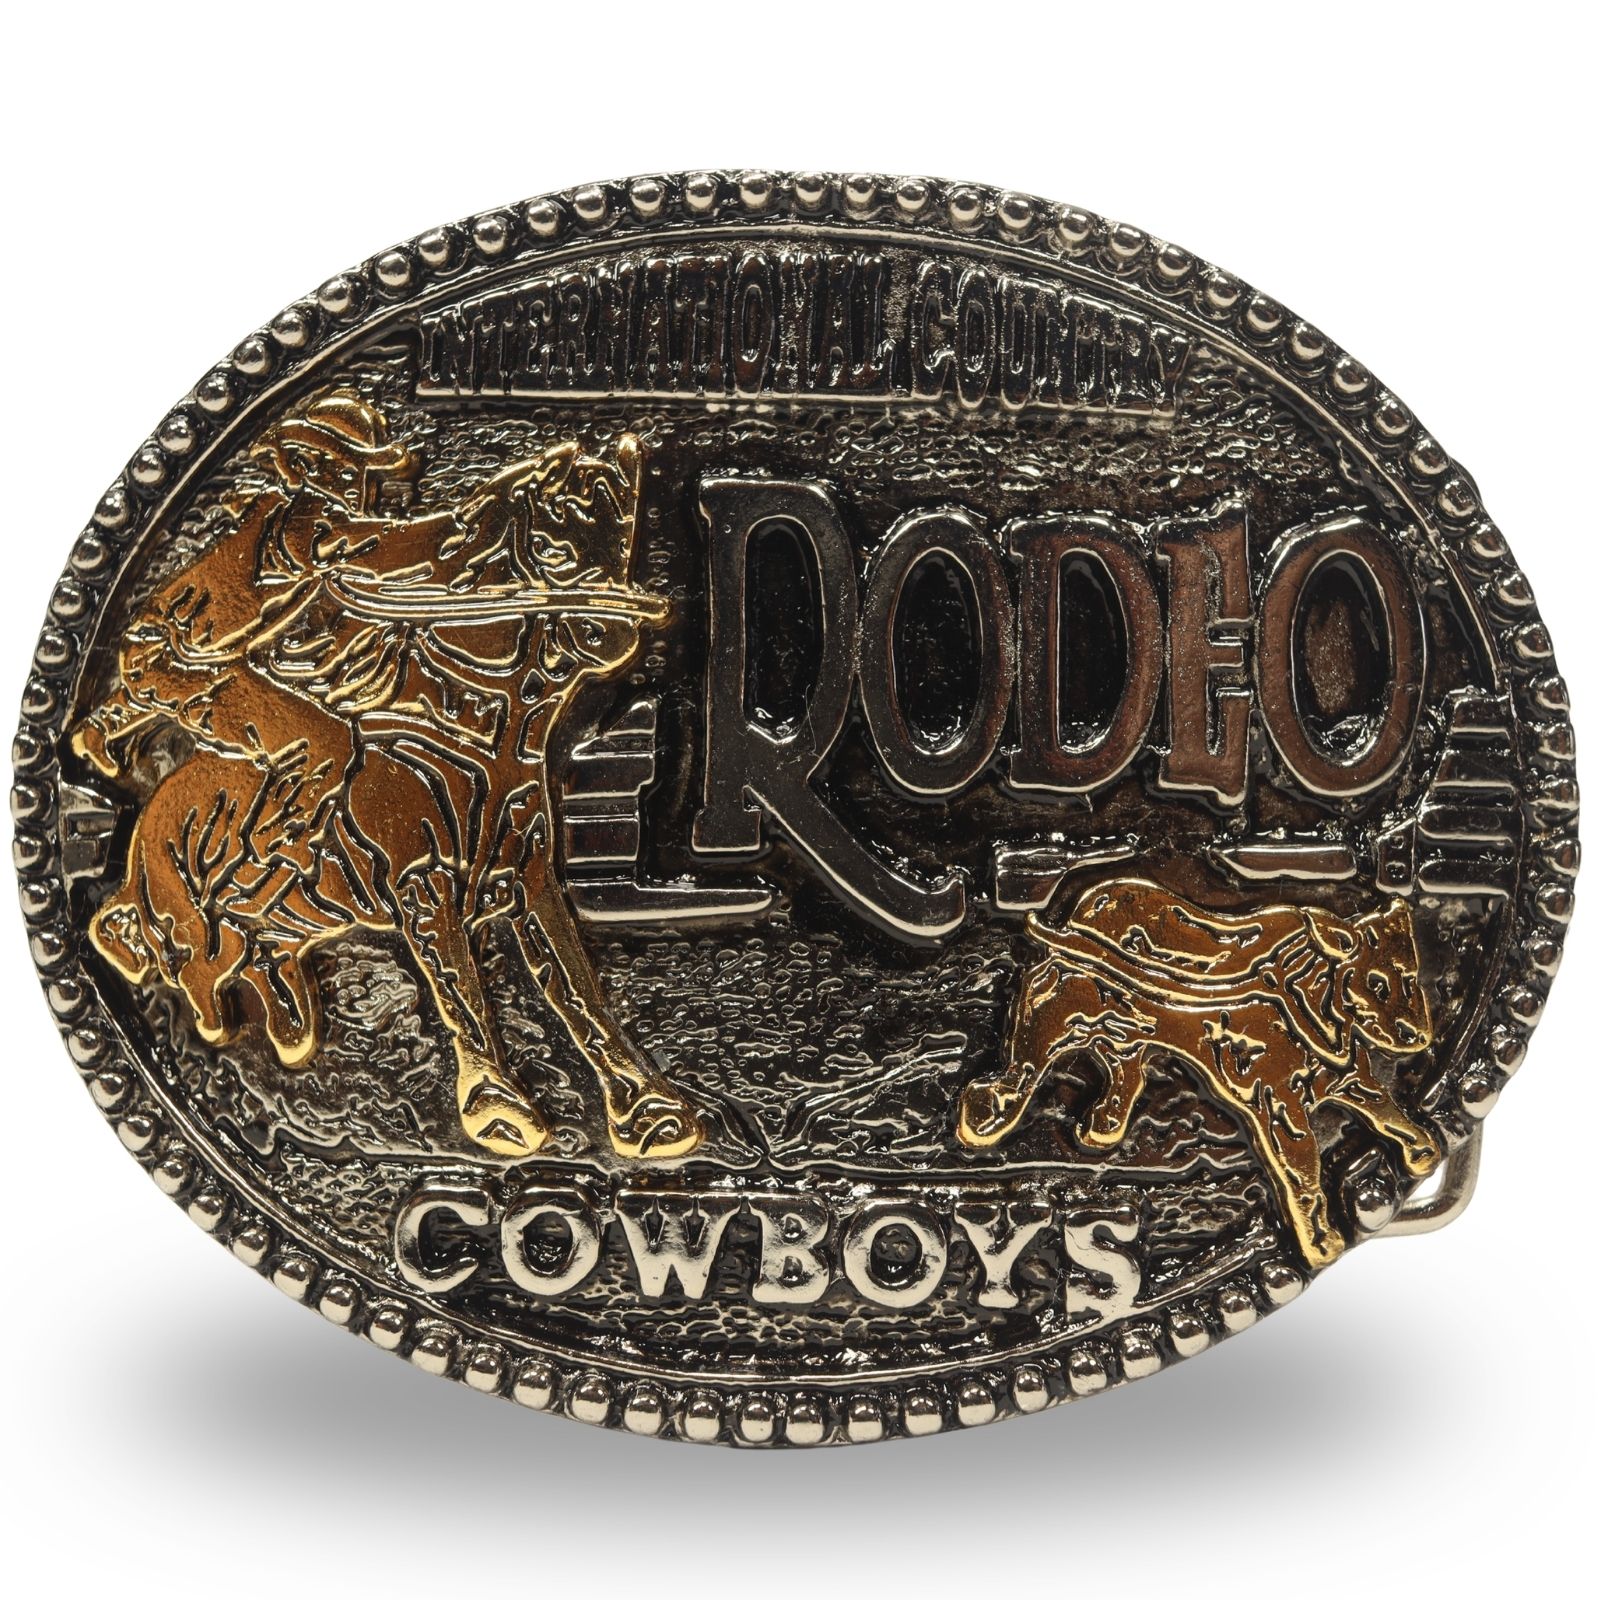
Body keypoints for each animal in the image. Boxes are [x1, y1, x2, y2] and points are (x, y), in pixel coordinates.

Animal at [956, 877, 1442, 1267]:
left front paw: (1423, 1150)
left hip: (1131, 1028)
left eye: (1411, 977)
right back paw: (989, 1112)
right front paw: (1319, 1240)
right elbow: (1302, 1177)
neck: (1309, 1002)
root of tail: (1088, 905)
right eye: (1375, 982)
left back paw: (1104, 1124)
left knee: (1124, 1069)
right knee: (1030, 1043)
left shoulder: (1351, 1079)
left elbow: (1388, 1111)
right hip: (1066, 1007)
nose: (1418, 1036)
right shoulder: (1280, 1111)